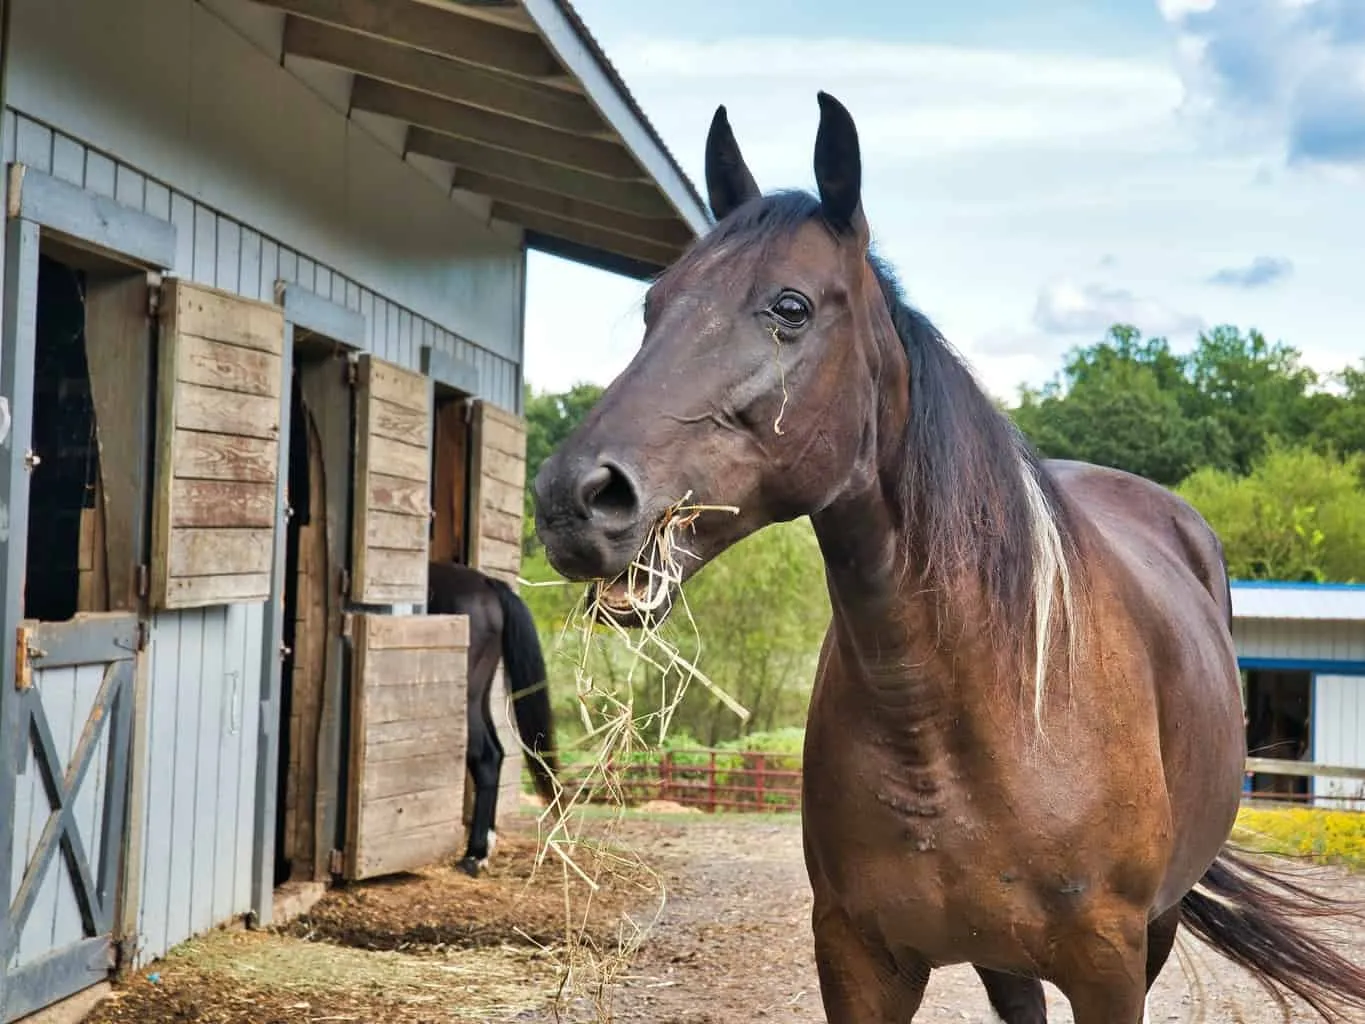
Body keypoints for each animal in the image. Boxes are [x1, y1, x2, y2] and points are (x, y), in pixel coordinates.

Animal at [426, 560, 559, 877]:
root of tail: (486, 584)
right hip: (480, 694)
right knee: (496, 753)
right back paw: (485, 845)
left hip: (467, 698)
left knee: (485, 757)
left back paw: (474, 855)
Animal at [528, 93, 1365, 1022]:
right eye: (654, 306)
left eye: (790, 307)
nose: (575, 497)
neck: (956, 719)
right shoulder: (858, 961)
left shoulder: (1109, 968)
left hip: (1154, 925)